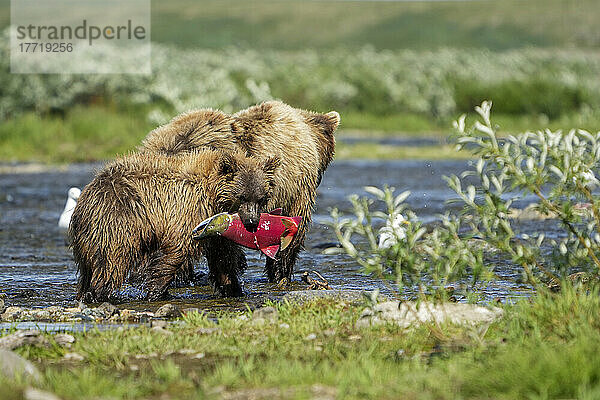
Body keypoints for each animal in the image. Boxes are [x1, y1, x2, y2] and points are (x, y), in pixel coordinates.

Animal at [69, 148, 278, 302]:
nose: (252, 222)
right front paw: (156, 291)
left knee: (90, 268)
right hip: (118, 220)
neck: (213, 196)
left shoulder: (216, 226)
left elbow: (223, 256)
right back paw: (100, 294)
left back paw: (86, 293)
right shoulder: (189, 211)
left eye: (261, 198)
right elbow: (178, 249)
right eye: (242, 196)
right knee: (112, 260)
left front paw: (233, 288)